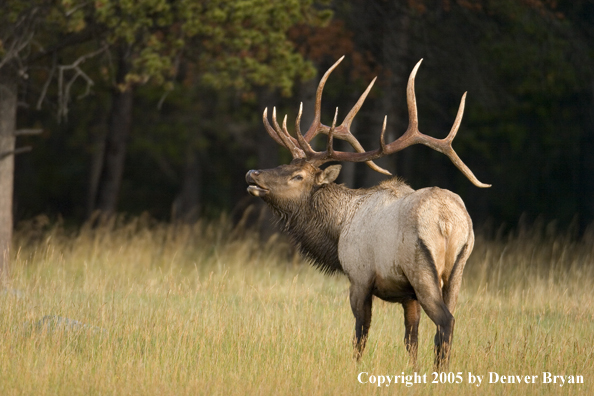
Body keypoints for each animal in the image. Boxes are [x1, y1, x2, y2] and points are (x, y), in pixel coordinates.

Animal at [243, 57, 488, 370]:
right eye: (286, 164)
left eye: (298, 176)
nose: (253, 173)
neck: (338, 230)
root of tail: (448, 222)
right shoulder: (407, 294)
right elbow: (411, 338)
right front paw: (412, 370)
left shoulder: (359, 276)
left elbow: (360, 333)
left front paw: (355, 368)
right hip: (458, 269)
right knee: (446, 322)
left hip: (421, 267)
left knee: (446, 321)